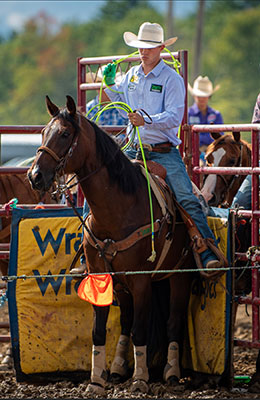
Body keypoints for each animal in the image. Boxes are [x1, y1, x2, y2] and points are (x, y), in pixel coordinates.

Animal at [27, 95, 195, 396]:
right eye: (44, 132)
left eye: (65, 134)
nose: (35, 176)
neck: (119, 207)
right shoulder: (101, 276)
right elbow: (100, 330)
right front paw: (96, 381)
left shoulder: (141, 280)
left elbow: (141, 330)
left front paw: (140, 380)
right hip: (122, 285)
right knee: (127, 320)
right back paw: (117, 368)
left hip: (179, 276)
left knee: (173, 321)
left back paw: (172, 373)